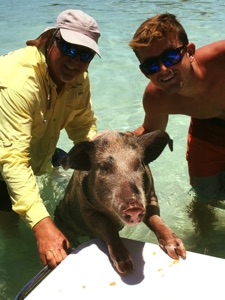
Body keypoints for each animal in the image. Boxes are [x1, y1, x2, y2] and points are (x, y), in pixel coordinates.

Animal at [53, 130, 185, 274]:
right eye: (103, 167)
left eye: (139, 163)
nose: (133, 206)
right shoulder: (87, 211)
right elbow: (108, 228)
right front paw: (126, 267)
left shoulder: (151, 197)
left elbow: (156, 219)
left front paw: (179, 252)